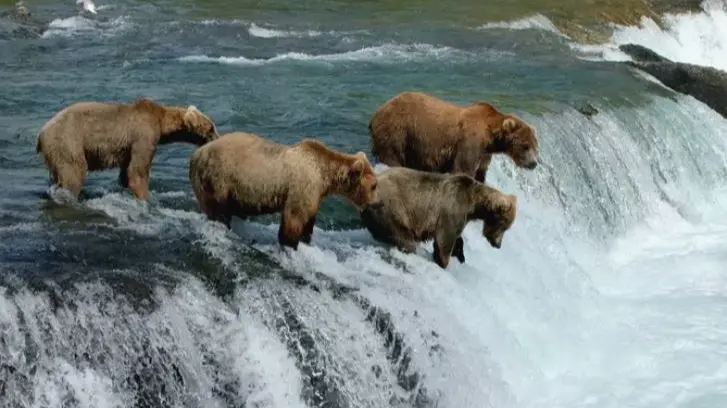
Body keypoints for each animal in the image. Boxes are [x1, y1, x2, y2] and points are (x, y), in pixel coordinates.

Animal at [35, 98, 219, 201]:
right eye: (211, 128)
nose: (218, 137)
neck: (161, 122)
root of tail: (41, 133)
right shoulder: (143, 135)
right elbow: (138, 171)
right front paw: (146, 198)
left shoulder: (128, 148)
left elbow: (126, 171)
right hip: (67, 141)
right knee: (73, 172)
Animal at [188, 131, 379, 250]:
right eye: (374, 185)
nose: (376, 202)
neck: (324, 174)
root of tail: (197, 153)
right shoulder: (302, 185)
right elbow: (294, 218)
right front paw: (290, 243)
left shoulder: (314, 193)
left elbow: (308, 218)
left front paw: (306, 239)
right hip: (217, 177)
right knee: (218, 210)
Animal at [359, 166, 517, 269]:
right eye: (503, 226)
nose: (498, 245)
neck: (474, 204)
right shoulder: (453, 208)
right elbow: (445, 238)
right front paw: (443, 261)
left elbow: (455, 238)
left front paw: (460, 255)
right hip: (391, 209)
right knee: (404, 238)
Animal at [368, 91, 539, 183]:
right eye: (525, 145)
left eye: (535, 146)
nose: (533, 164)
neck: (491, 138)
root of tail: (377, 112)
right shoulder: (470, 142)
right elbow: (463, 168)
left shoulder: (484, 153)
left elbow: (480, 172)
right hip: (398, 132)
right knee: (392, 156)